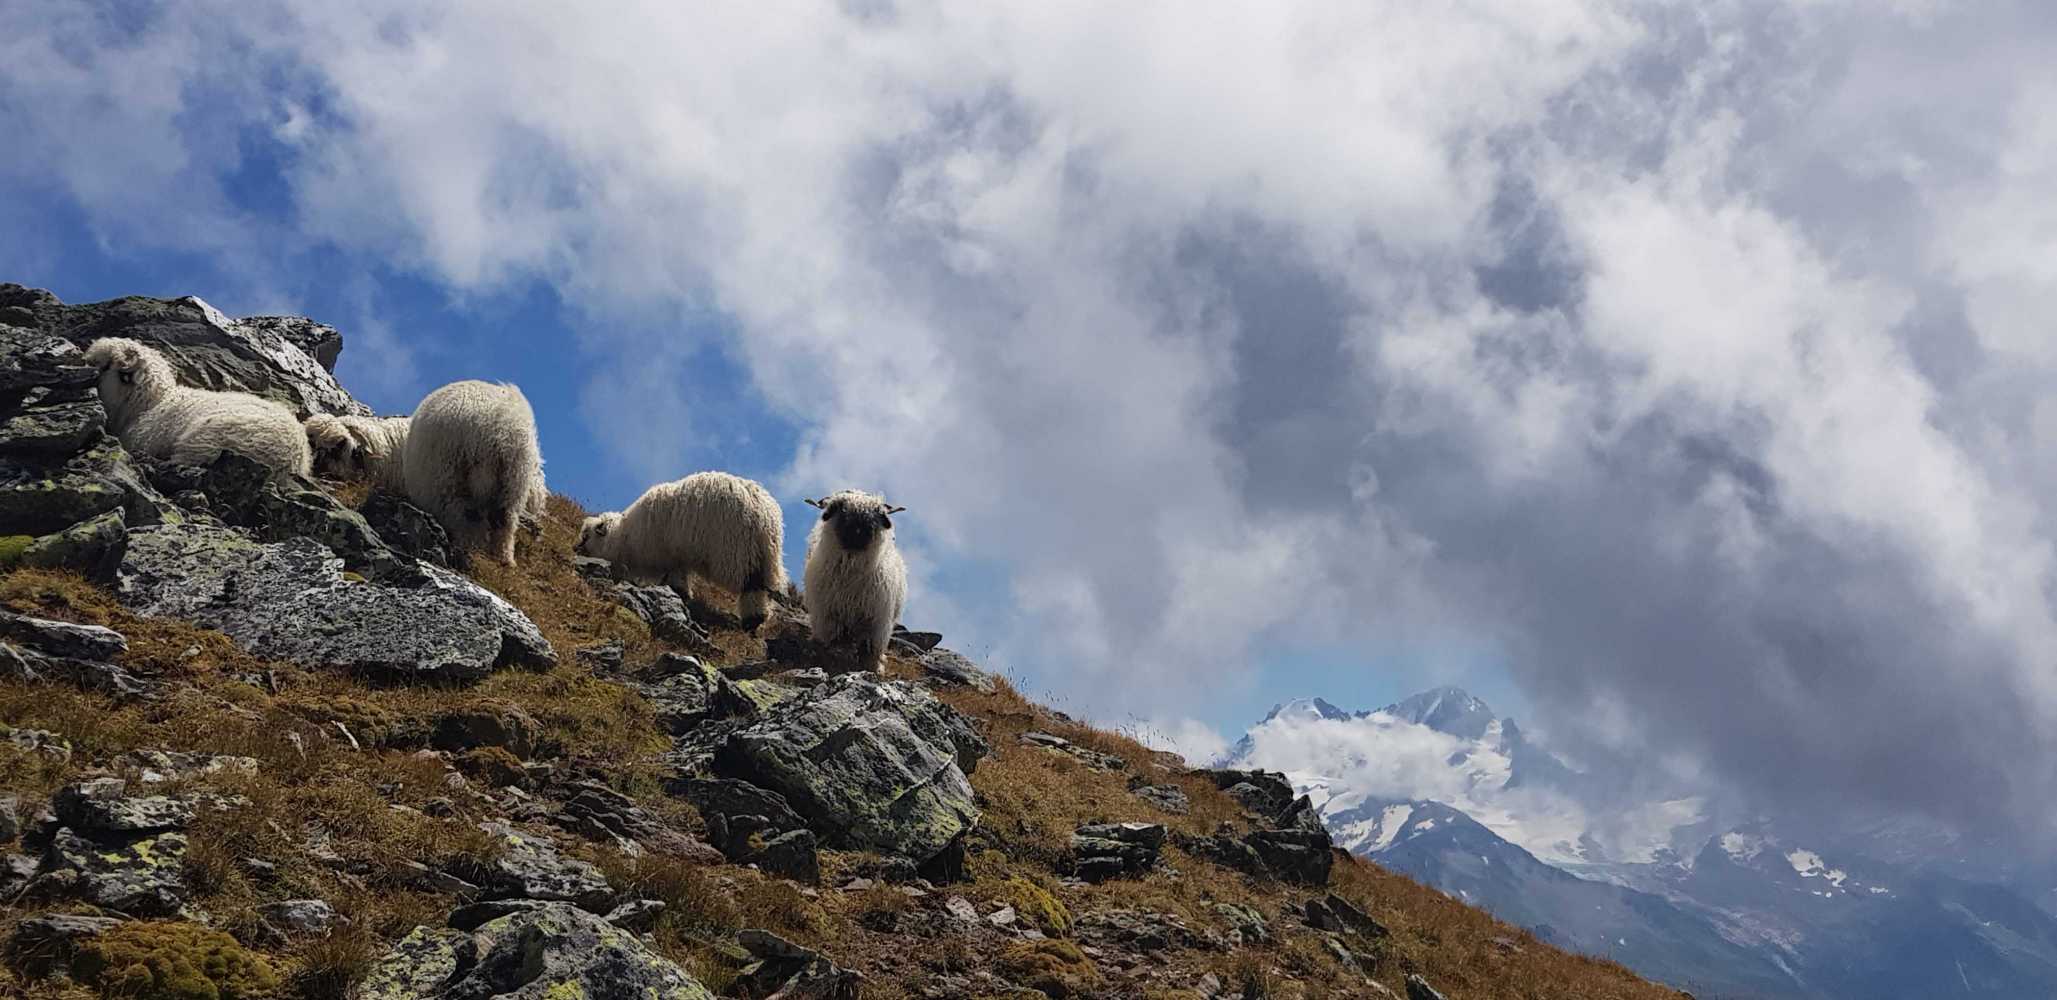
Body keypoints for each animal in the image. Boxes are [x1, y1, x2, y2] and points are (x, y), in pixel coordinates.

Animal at [400, 380, 546, 566]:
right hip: (512, 479)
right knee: (503, 520)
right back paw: (502, 558)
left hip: (453, 476)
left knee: (469, 517)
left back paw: (473, 552)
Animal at [575, 471, 788, 632]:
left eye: (586, 537)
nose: (575, 549)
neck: (626, 536)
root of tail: (765, 515)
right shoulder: (678, 557)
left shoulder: (671, 555)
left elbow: (676, 578)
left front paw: (678, 592)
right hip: (764, 556)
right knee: (762, 588)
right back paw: (756, 619)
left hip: (738, 552)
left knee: (750, 584)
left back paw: (752, 621)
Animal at [802, 490, 908, 671]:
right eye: (842, 510)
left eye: (874, 517)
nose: (857, 532)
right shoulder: (828, 617)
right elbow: (832, 645)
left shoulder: (876, 623)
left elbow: (870, 651)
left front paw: (874, 668)